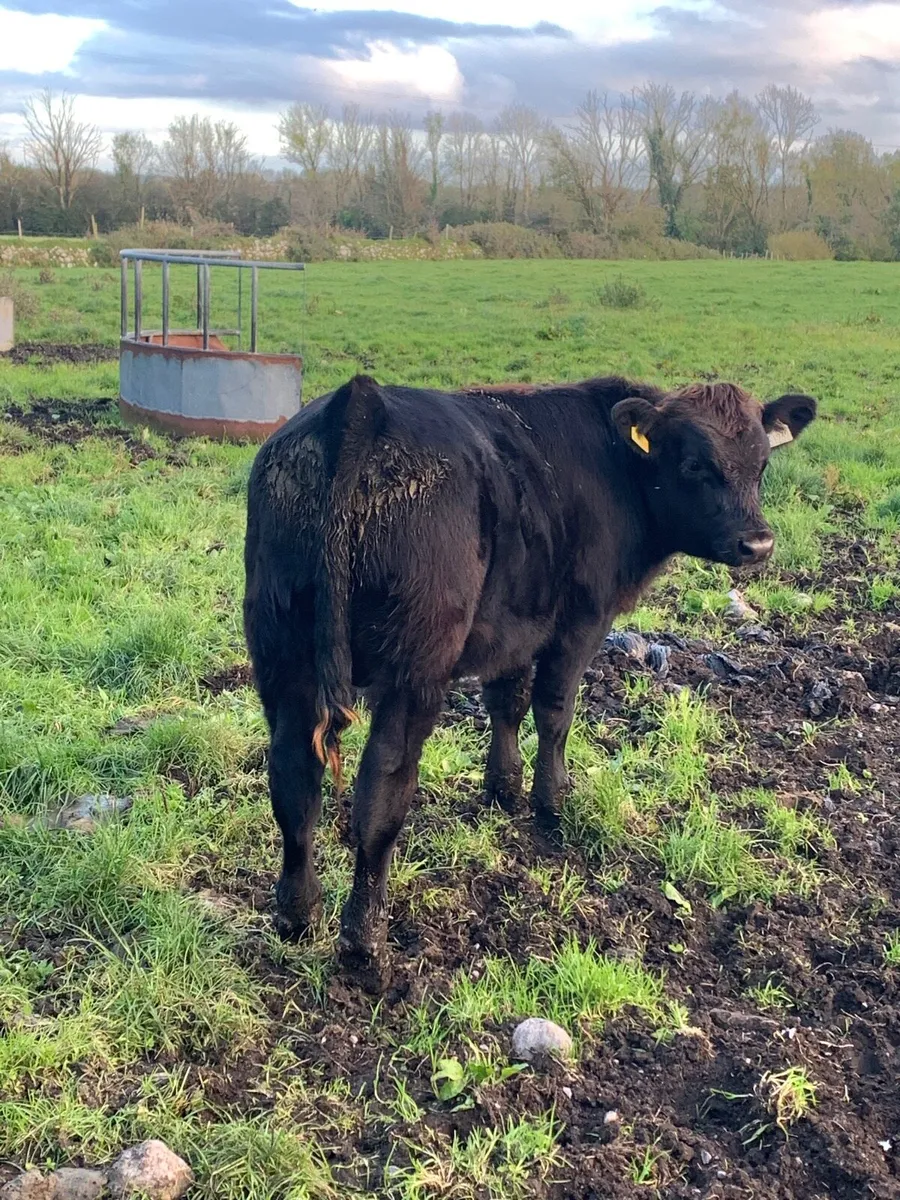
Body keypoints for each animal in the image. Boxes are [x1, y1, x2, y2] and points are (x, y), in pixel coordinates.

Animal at [243, 373, 816, 991]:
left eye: (761, 464)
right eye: (693, 463)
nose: (757, 543)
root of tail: (361, 402)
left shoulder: (515, 622)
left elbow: (507, 701)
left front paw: (503, 789)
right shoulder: (582, 619)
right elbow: (554, 708)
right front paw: (551, 802)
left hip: (283, 652)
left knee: (293, 778)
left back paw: (298, 914)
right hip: (413, 667)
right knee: (383, 787)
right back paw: (364, 944)